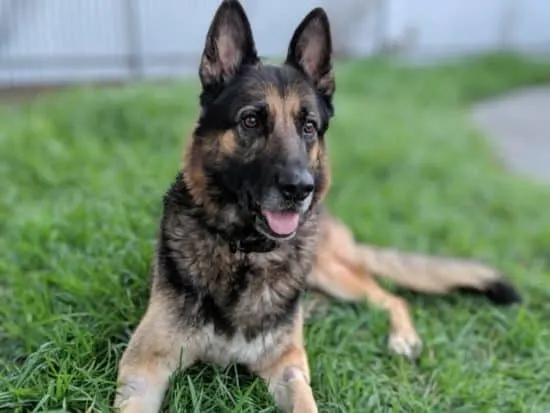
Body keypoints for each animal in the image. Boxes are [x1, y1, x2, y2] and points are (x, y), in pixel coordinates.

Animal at [115, 1, 520, 410]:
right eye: (251, 120)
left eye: (308, 126)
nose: (300, 189)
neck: (245, 254)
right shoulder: (142, 369)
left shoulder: (288, 369)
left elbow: (305, 397)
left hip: (329, 270)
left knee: (388, 296)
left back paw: (402, 337)